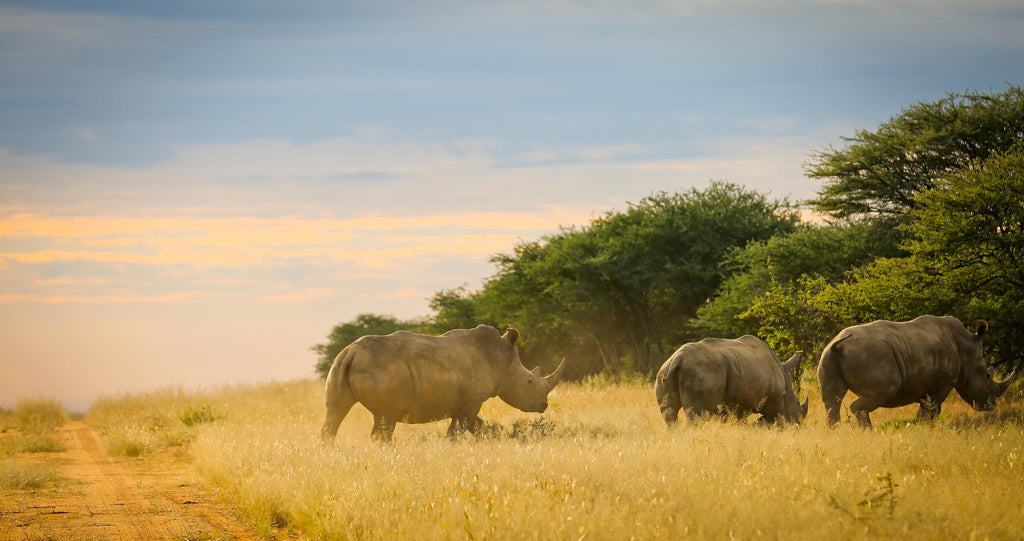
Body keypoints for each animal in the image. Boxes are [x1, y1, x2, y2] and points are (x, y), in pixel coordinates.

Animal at [319, 324, 566, 443]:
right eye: (530, 381)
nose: (543, 405)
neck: (502, 360)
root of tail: (351, 352)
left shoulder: (465, 401)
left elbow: (476, 425)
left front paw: (490, 439)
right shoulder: (474, 398)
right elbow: (459, 429)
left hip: (340, 364)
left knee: (336, 411)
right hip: (382, 368)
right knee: (385, 417)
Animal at [655, 335, 808, 426]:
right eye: (797, 403)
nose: (799, 424)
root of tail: (678, 357)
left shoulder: (739, 403)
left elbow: (740, 421)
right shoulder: (774, 401)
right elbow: (776, 419)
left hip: (664, 370)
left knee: (669, 412)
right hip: (703, 372)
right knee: (696, 416)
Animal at [817, 315, 1018, 428]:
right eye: (987, 376)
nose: (992, 405)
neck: (966, 347)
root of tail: (839, 344)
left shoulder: (925, 382)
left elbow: (927, 408)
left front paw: (917, 427)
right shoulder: (945, 382)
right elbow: (932, 409)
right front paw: (924, 428)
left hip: (827, 355)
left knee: (831, 402)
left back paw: (837, 432)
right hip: (870, 355)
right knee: (882, 391)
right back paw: (867, 432)